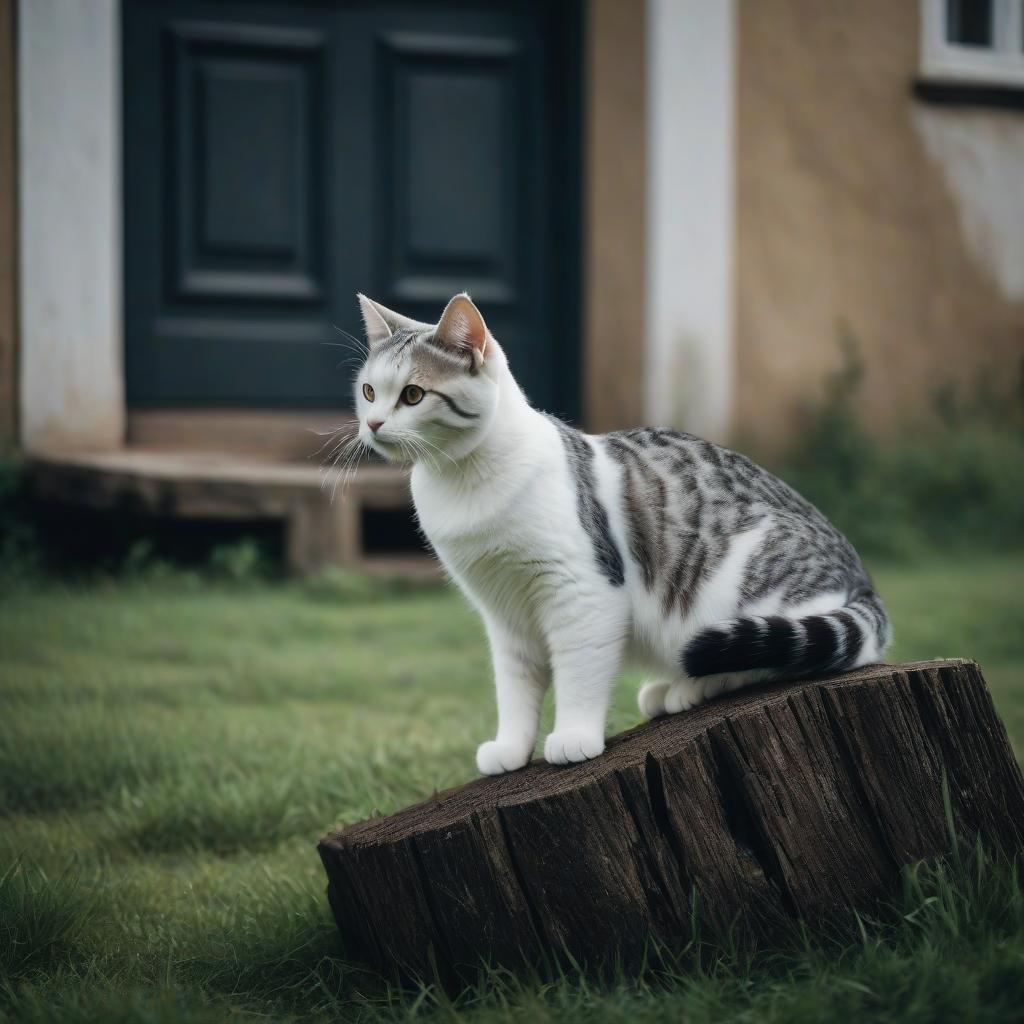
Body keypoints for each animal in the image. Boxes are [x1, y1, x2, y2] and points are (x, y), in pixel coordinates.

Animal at [350, 292, 888, 770]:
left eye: (413, 394)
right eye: (369, 392)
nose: (372, 424)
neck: (462, 480)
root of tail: (861, 579)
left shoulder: (584, 591)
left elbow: (579, 672)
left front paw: (573, 737)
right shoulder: (504, 613)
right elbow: (515, 686)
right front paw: (511, 749)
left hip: (742, 586)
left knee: (784, 657)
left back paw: (697, 685)